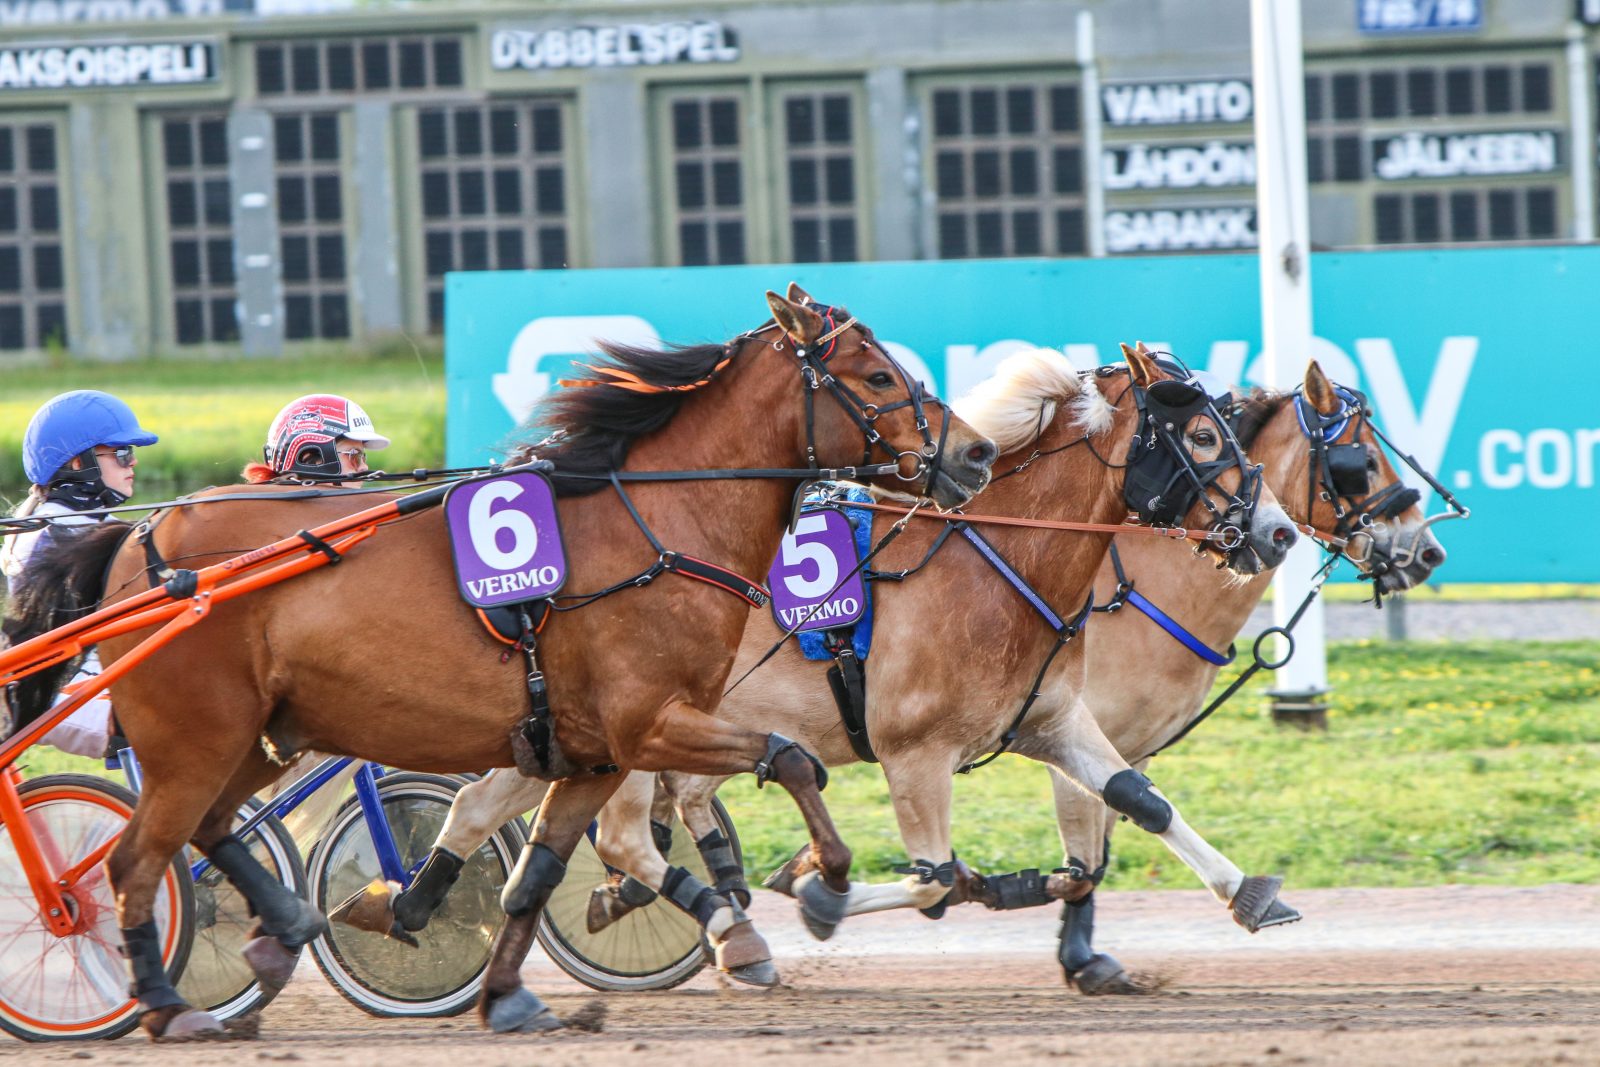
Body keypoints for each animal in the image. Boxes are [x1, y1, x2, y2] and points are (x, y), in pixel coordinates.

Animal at [0, 287, 992, 1036]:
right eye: (878, 375)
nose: (977, 453)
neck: (655, 521)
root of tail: (143, 540)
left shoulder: (592, 750)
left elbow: (535, 876)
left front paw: (509, 993)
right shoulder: (649, 722)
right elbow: (792, 758)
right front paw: (824, 880)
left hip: (254, 733)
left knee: (206, 830)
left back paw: (281, 925)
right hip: (194, 735)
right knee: (136, 861)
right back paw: (165, 999)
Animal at [1049, 358, 1452, 991]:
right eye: (1363, 459)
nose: (1428, 550)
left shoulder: (1129, 744)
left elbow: (1110, 833)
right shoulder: (1077, 725)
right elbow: (1086, 846)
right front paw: (1080, 956)